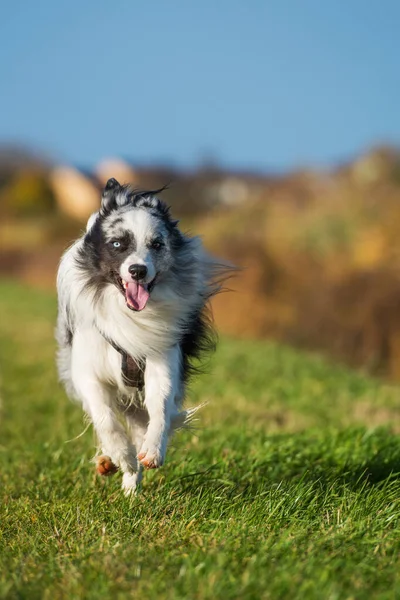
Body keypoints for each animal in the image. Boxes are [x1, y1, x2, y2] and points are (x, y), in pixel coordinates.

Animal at [55, 179, 228, 496]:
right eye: (117, 244)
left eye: (157, 244)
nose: (138, 270)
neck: (130, 315)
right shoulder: (88, 370)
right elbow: (104, 417)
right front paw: (121, 454)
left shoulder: (163, 360)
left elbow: (160, 407)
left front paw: (152, 451)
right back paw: (112, 463)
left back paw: (131, 485)